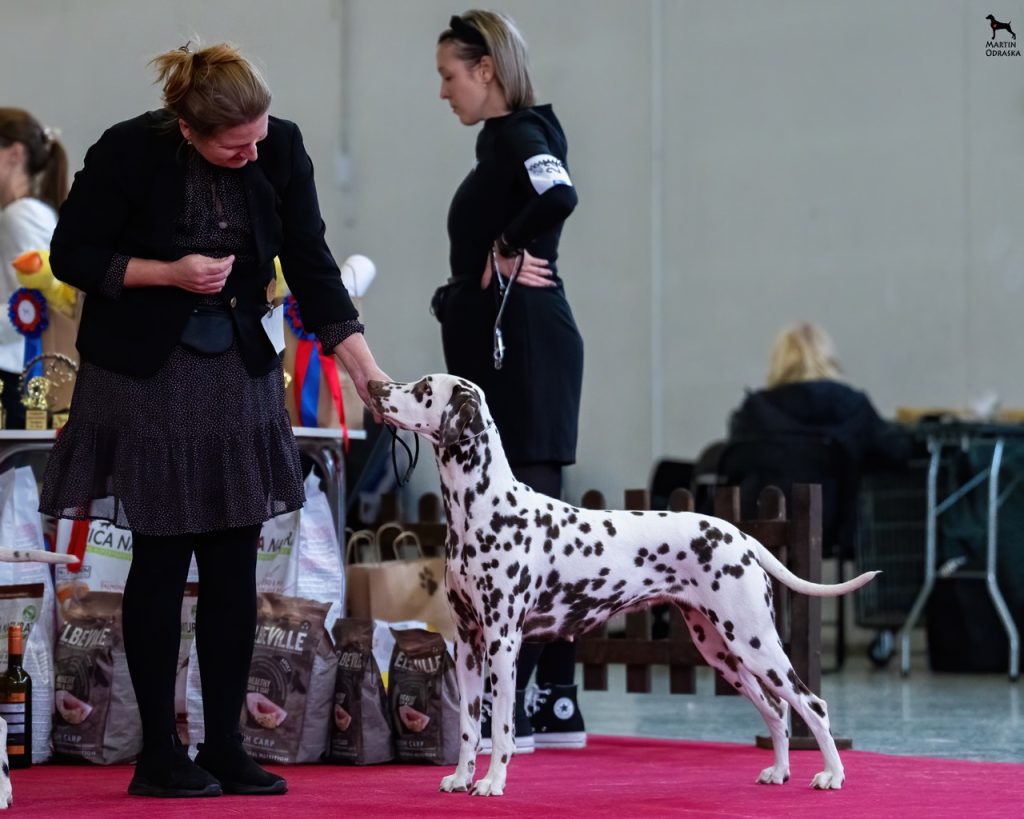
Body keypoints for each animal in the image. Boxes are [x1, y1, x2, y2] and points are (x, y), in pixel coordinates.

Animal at [369, 374, 878, 797]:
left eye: (422, 388)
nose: (374, 386)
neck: (485, 508)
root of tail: (743, 536)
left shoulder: (502, 641)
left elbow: (502, 730)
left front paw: (493, 783)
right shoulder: (469, 644)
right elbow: (471, 729)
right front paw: (460, 778)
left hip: (756, 645)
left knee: (812, 704)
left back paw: (831, 775)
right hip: (722, 652)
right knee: (776, 710)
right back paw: (779, 771)